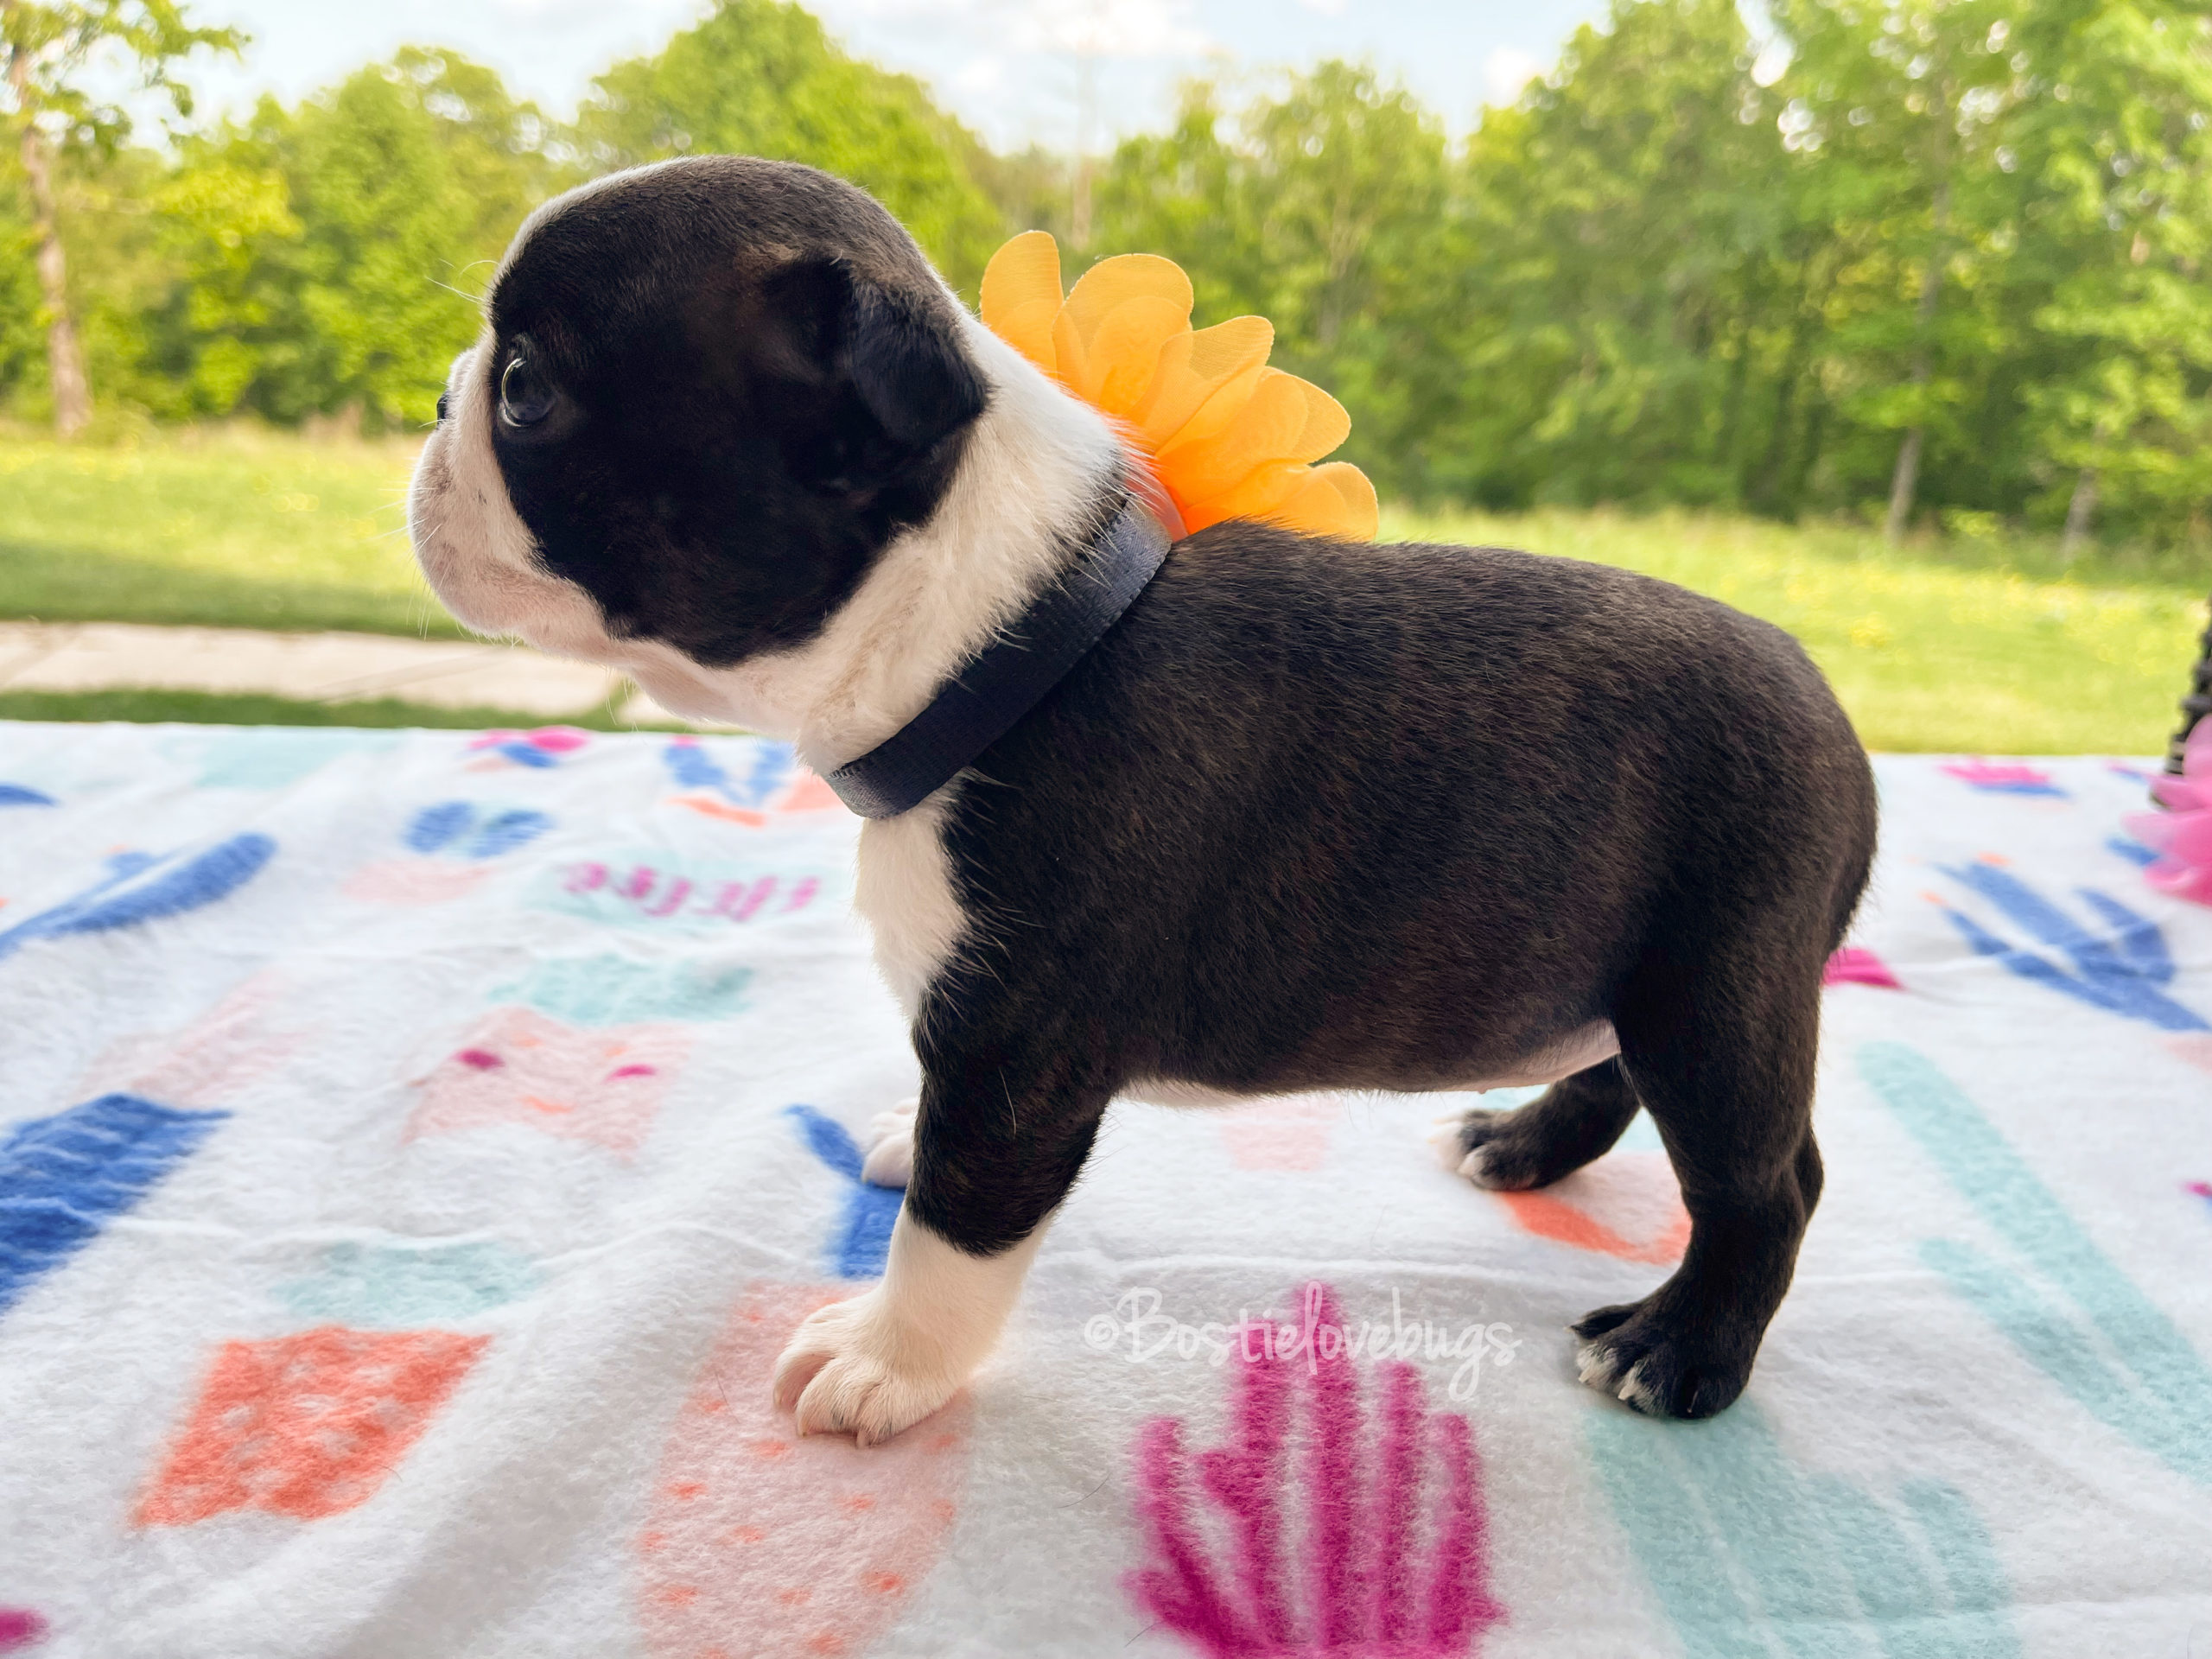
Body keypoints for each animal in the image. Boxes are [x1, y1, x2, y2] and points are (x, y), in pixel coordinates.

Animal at [410, 155, 1877, 1445]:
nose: (436, 397)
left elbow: (951, 1228)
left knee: (1767, 1183)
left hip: (1716, 983)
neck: (1005, 650)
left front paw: (885, 1365)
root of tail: (1838, 715)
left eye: (527, 391)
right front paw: (894, 1139)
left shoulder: (1016, 1058)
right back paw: (1521, 1144)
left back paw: (1678, 1350)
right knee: (1609, 1065)